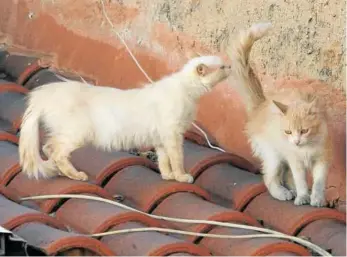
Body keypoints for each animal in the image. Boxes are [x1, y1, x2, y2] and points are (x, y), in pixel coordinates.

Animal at [18, 53, 231, 182]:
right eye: (222, 67)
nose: (230, 65)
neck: (186, 90)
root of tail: (44, 93)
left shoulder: (161, 138)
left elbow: (163, 160)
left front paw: (168, 176)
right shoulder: (173, 134)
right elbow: (177, 158)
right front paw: (181, 176)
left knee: (47, 147)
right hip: (77, 133)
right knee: (55, 151)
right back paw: (77, 175)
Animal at [228, 22, 332, 206]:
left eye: (304, 130)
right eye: (288, 131)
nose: (296, 141)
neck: (306, 147)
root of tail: (262, 104)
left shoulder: (321, 159)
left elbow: (319, 182)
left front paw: (316, 198)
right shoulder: (295, 159)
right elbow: (300, 180)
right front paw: (303, 196)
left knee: (285, 175)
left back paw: (292, 190)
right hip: (273, 155)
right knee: (269, 178)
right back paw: (282, 193)